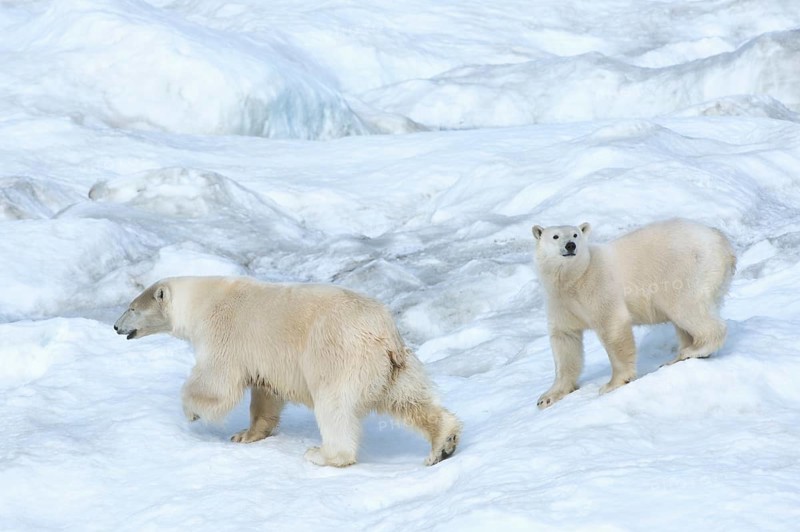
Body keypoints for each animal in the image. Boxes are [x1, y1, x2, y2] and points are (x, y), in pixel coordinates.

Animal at [113, 276, 461, 467]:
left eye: (131, 307)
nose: (116, 327)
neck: (203, 299)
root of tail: (384, 332)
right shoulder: (265, 358)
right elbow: (265, 394)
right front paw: (245, 434)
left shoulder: (224, 333)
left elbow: (217, 381)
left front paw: (193, 412)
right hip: (393, 366)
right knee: (409, 400)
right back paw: (443, 443)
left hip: (338, 355)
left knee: (334, 407)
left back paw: (323, 454)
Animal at [531, 218, 736, 409]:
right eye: (555, 236)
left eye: (575, 234)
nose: (570, 245)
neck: (574, 278)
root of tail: (722, 241)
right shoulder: (560, 302)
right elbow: (565, 341)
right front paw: (546, 397)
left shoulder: (599, 287)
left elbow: (613, 327)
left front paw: (612, 384)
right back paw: (676, 357)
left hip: (686, 271)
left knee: (687, 308)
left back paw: (693, 350)